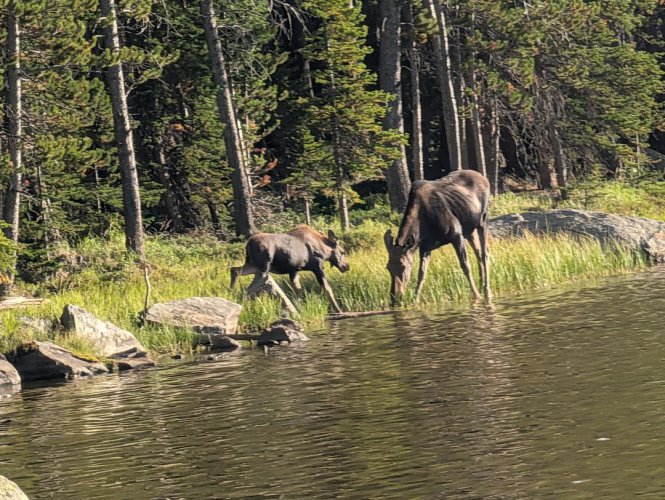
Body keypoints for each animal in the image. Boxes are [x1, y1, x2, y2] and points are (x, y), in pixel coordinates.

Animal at [384, 170, 491, 307]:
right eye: (388, 267)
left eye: (403, 266)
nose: (394, 299)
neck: (423, 228)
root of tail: (484, 178)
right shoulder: (425, 247)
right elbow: (421, 274)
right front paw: (415, 300)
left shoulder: (456, 234)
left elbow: (465, 265)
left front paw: (476, 296)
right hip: (468, 230)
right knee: (478, 253)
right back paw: (481, 285)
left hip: (482, 220)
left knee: (484, 253)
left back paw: (486, 290)